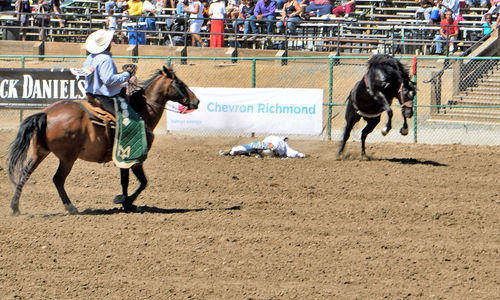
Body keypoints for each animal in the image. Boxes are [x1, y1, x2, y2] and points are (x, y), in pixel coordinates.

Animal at [7, 66, 199, 214]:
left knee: (25, 173)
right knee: (58, 179)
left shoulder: (124, 158)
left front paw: (126, 202)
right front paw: (124, 201)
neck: (142, 111)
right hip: (67, 158)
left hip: (40, 152)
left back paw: (15, 207)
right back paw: (71, 207)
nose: (196, 101)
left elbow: (125, 181)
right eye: (180, 84)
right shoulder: (136, 158)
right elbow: (143, 182)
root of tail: (46, 114)